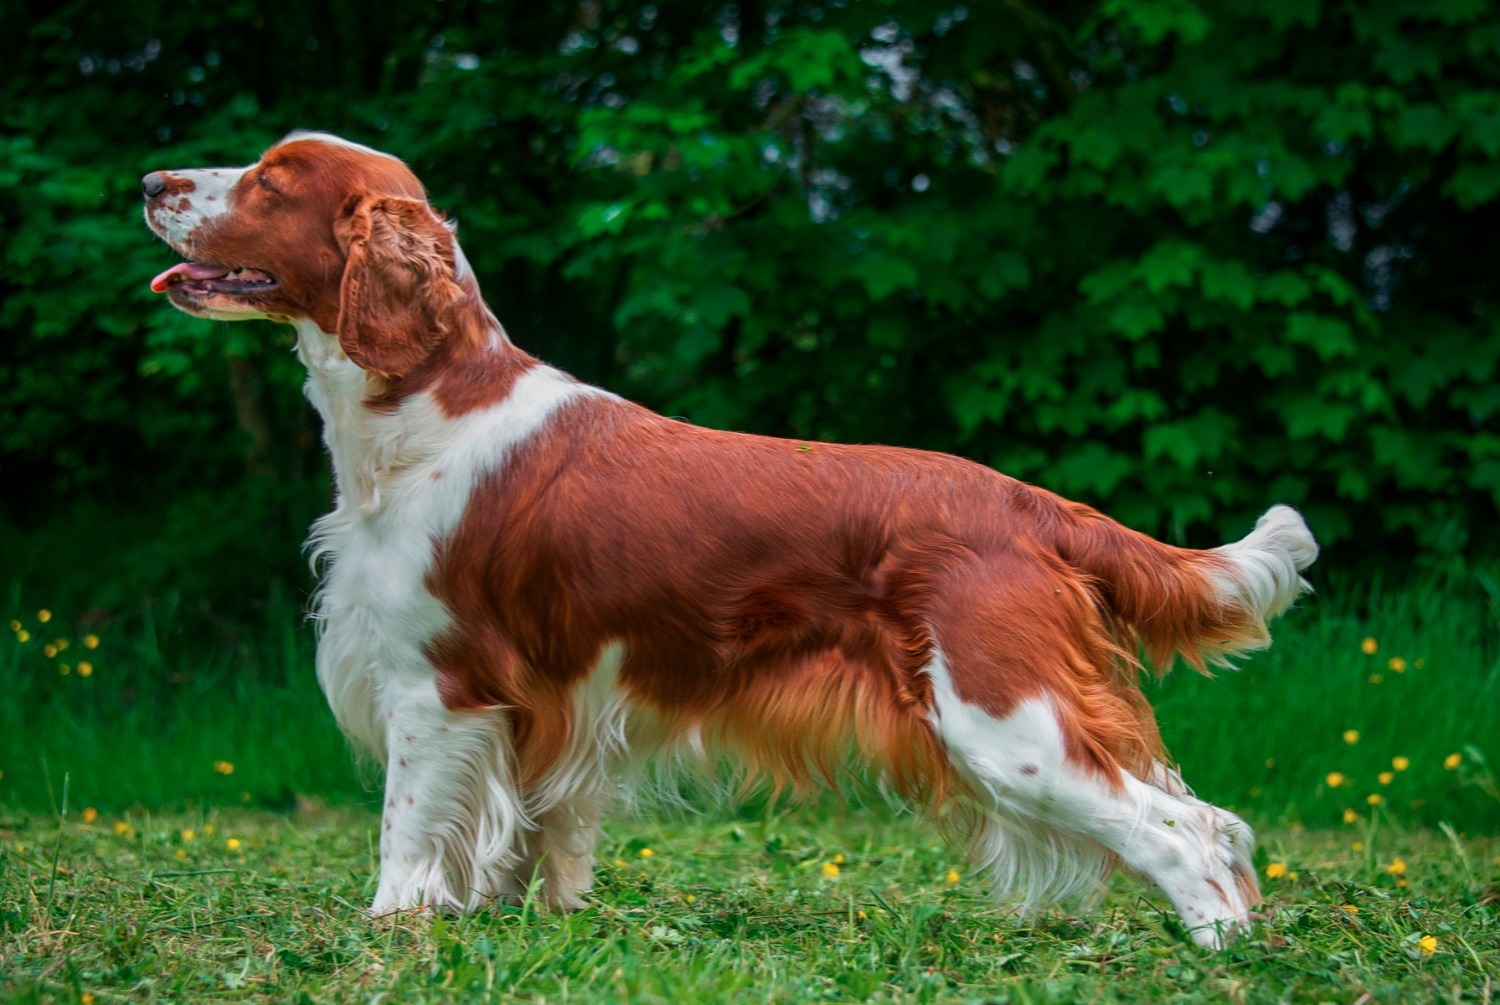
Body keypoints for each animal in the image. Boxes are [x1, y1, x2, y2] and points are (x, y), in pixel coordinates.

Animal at [143, 135, 1314, 954]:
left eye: (272, 180)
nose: (152, 180)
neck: (425, 407)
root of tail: (1032, 506)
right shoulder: (531, 710)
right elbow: (518, 836)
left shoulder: (435, 686)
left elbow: (405, 833)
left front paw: (391, 932)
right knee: (1204, 818)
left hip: (1002, 717)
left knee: (1177, 832)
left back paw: (1216, 947)